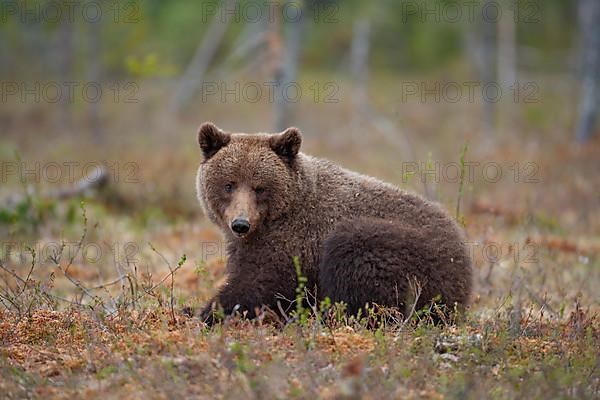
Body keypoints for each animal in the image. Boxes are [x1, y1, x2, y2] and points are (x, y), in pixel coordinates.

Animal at [195, 122, 472, 324]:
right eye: (229, 184)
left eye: (259, 187)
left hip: (411, 257)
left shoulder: (294, 242)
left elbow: (260, 284)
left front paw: (206, 311)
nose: (240, 224)